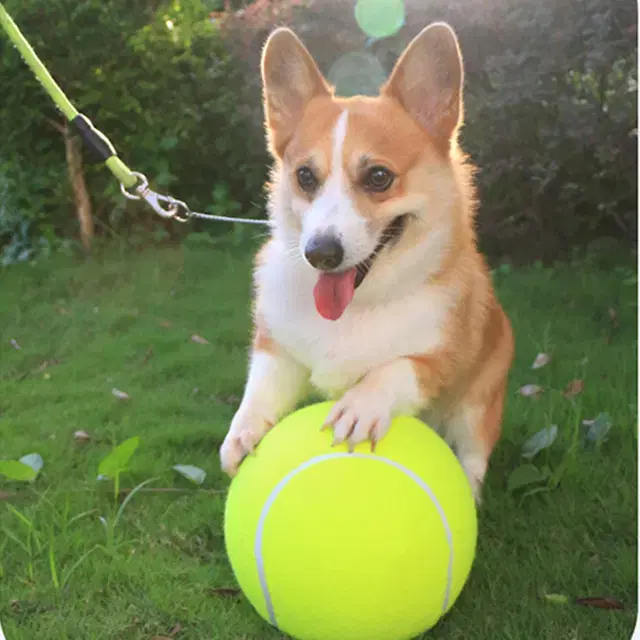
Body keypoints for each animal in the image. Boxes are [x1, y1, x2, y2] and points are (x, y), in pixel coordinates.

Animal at [220, 22, 516, 502]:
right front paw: (241, 432)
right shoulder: (277, 346)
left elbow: (396, 367)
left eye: (379, 177)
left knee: (473, 455)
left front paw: (359, 405)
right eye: (305, 176)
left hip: (480, 403)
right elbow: (260, 385)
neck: (355, 309)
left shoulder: (439, 362)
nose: (321, 254)